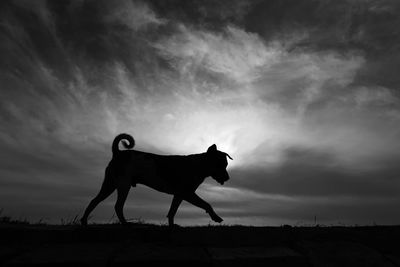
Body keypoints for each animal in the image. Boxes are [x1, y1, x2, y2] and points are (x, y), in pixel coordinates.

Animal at [80, 133, 231, 226]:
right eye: (220, 164)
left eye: (226, 164)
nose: (228, 178)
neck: (198, 165)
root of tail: (118, 153)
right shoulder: (188, 194)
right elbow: (206, 204)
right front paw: (216, 217)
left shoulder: (179, 195)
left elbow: (172, 211)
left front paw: (172, 226)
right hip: (123, 185)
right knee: (118, 206)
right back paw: (125, 224)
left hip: (110, 184)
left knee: (94, 201)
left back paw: (84, 221)